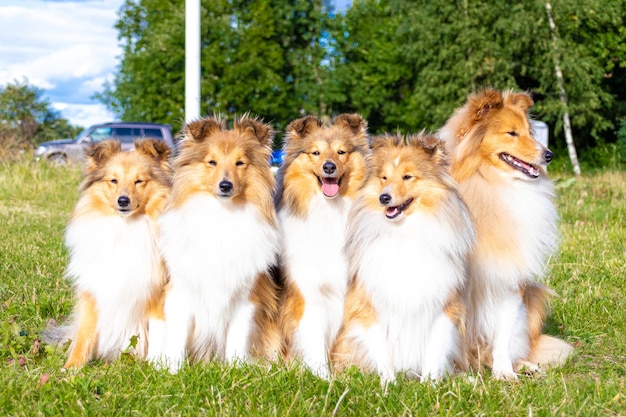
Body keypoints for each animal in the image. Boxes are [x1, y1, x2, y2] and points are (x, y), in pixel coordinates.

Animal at [59, 139, 171, 368]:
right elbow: (84, 332)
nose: (123, 201)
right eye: (113, 180)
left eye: (139, 181)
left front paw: (157, 367)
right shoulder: (93, 288)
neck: (125, 226)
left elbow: (159, 331)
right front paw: (72, 367)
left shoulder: (158, 289)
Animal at [149, 114, 278, 370]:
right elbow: (177, 338)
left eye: (240, 163)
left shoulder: (246, 297)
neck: (222, 214)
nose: (225, 186)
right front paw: (172, 371)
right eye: (212, 162)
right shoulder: (181, 291)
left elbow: (237, 340)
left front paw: (235, 369)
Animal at [274, 113, 370, 376]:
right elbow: (313, 338)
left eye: (341, 152)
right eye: (315, 153)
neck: (330, 211)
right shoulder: (308, 291)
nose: (329, 167)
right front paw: (323, 377)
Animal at [434, 89, 572, 378]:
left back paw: (524, 366)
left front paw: (504, 373)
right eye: (512, 133)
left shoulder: (508, 278)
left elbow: (503, 333)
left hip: (534, 301)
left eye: (530, 132)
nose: (549, 155)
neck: (487, 182)